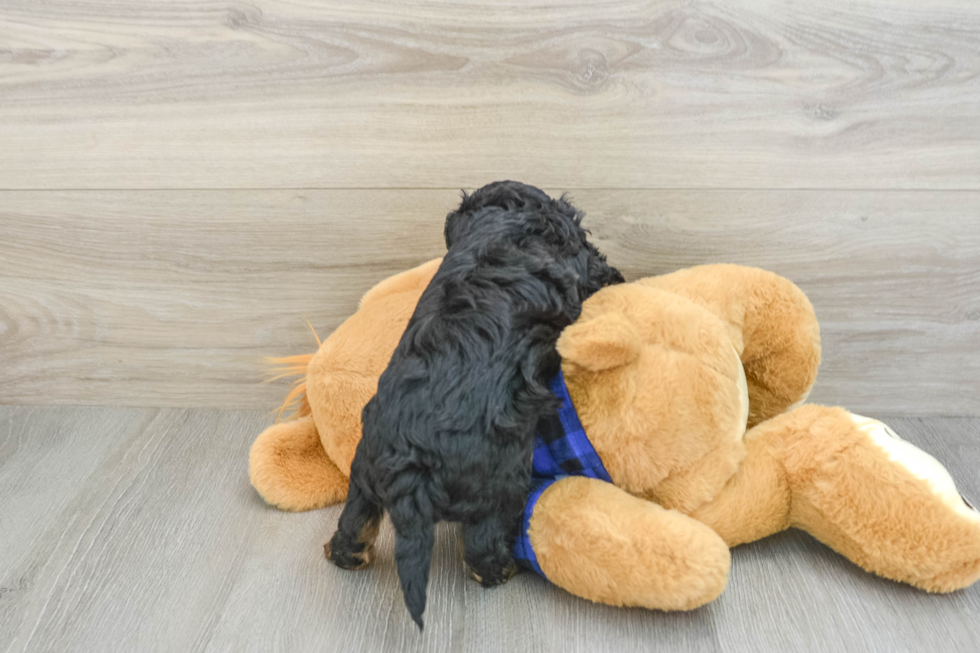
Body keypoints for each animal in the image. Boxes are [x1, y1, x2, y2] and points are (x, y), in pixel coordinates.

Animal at [326, 181, 624, 628]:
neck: (503, 221)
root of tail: (410, 466)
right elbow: (591, 272)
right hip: (499, 484)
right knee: (482, 543)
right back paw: (502, 571)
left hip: (364, 471)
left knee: (355, 517)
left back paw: (342, 553)